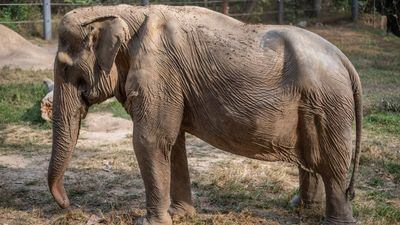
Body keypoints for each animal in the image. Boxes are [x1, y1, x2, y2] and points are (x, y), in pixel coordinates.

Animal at [47, 4, 362, 225]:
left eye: (66, 68)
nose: (68, 205)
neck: (126, 13)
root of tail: (345, 61)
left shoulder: (160, 72)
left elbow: (150, 140)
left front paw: (148, 222)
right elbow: (172, 142)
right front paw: (181, 215)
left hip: (329, 104)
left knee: (332, 163)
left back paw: (334, 220)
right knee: (313, 158)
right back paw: (299, 207)